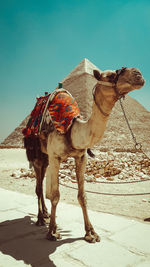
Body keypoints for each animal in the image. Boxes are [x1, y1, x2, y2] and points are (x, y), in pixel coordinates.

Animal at [24, 66, 145, 243]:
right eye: (110, 75)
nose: (138, 74)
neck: (72, 129)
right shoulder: (55, 157)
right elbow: (55, 195)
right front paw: (53, 232)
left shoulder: (81, 157)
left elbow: (82, 196)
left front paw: (91, 233)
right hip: (38, 155)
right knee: (39, 188)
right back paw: (40, 218)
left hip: (46, 158)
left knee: (41, 184)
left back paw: (46, 214)